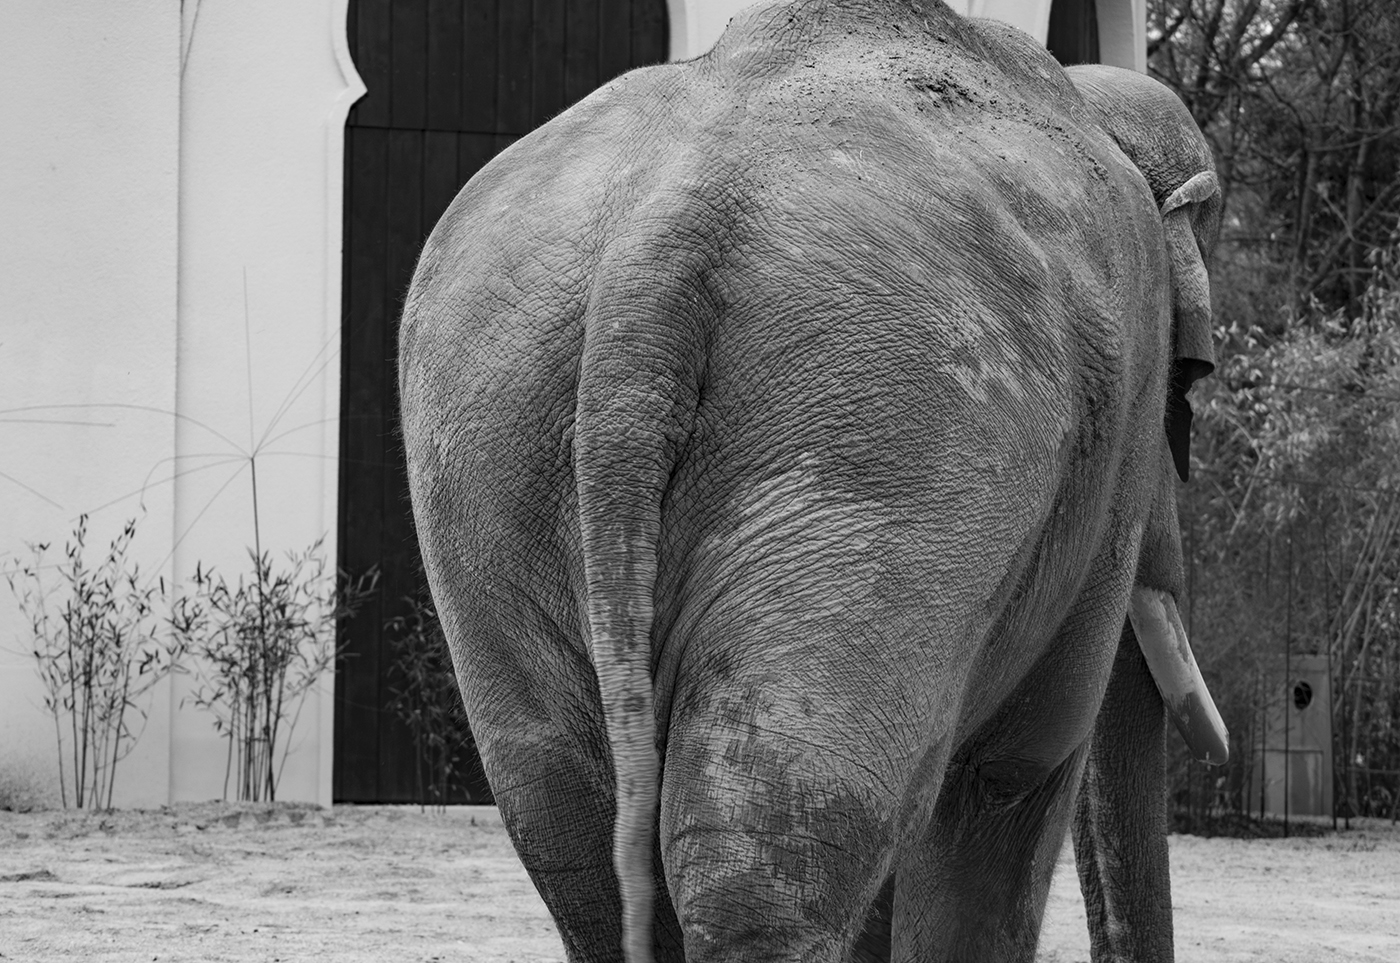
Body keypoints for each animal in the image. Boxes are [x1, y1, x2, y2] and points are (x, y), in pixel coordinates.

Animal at [403, 3, 1226, 957]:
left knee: (578, 833)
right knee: (780, 835)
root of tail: (665, 226)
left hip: (486, 435)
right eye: (1189, 380)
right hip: (891, 432)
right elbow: (1009, 774)